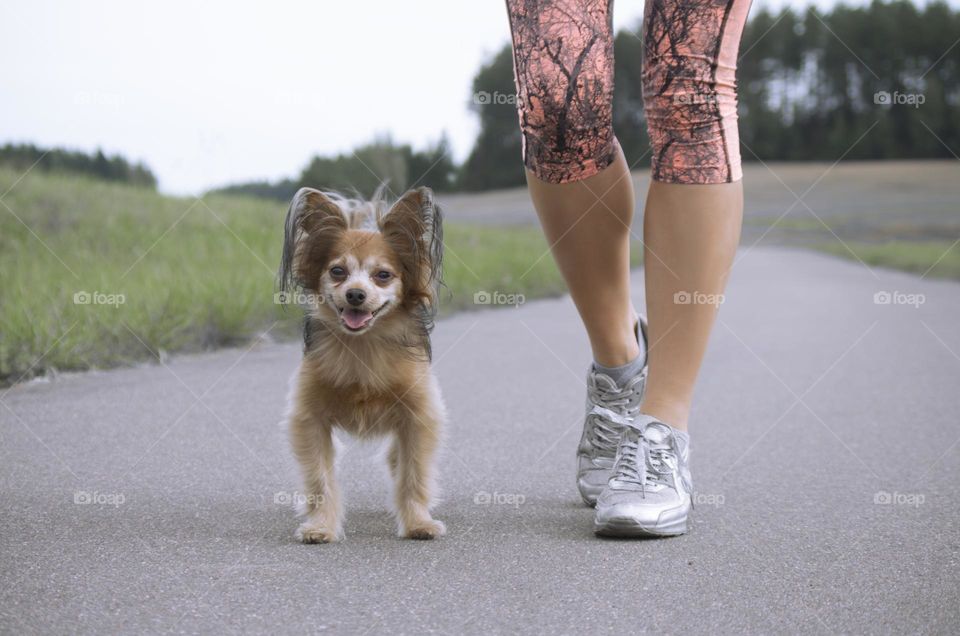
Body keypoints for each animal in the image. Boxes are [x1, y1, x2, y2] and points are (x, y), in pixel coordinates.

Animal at [276, 185, 444, 540]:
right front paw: (320, 525)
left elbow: (413, 475)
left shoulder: (418, 418)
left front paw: (418, 523)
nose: (355, 294)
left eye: (383, 275)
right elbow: (320, 480)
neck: (362, 346)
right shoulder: (310, 421)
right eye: (337, 271)